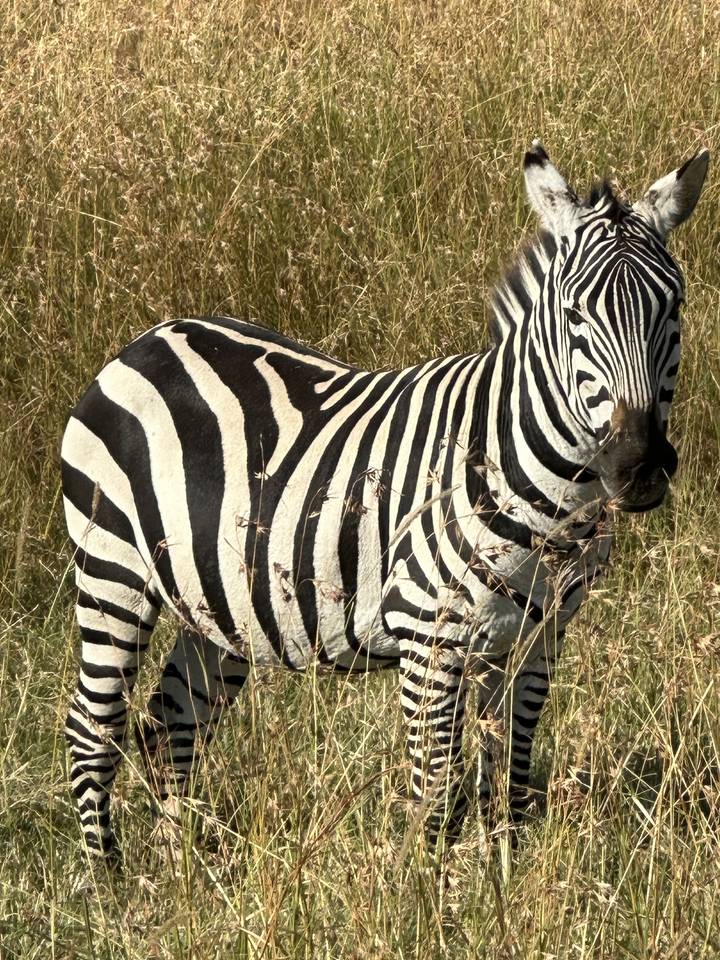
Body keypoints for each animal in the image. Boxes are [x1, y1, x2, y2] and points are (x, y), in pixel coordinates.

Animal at [62, 142, 709, 858]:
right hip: (113, 572)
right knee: (91, 730)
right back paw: (109, 877)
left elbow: (507, 787)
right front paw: (431, 888)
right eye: (574, 317)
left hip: (217, 601)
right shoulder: (428, 637)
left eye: (673, 308)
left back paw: (180, 870)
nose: (639, 467)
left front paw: (503, 878)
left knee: (174, 718)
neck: (548, 494)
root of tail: (148, 340)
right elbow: (438, 799)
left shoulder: (534, 643)